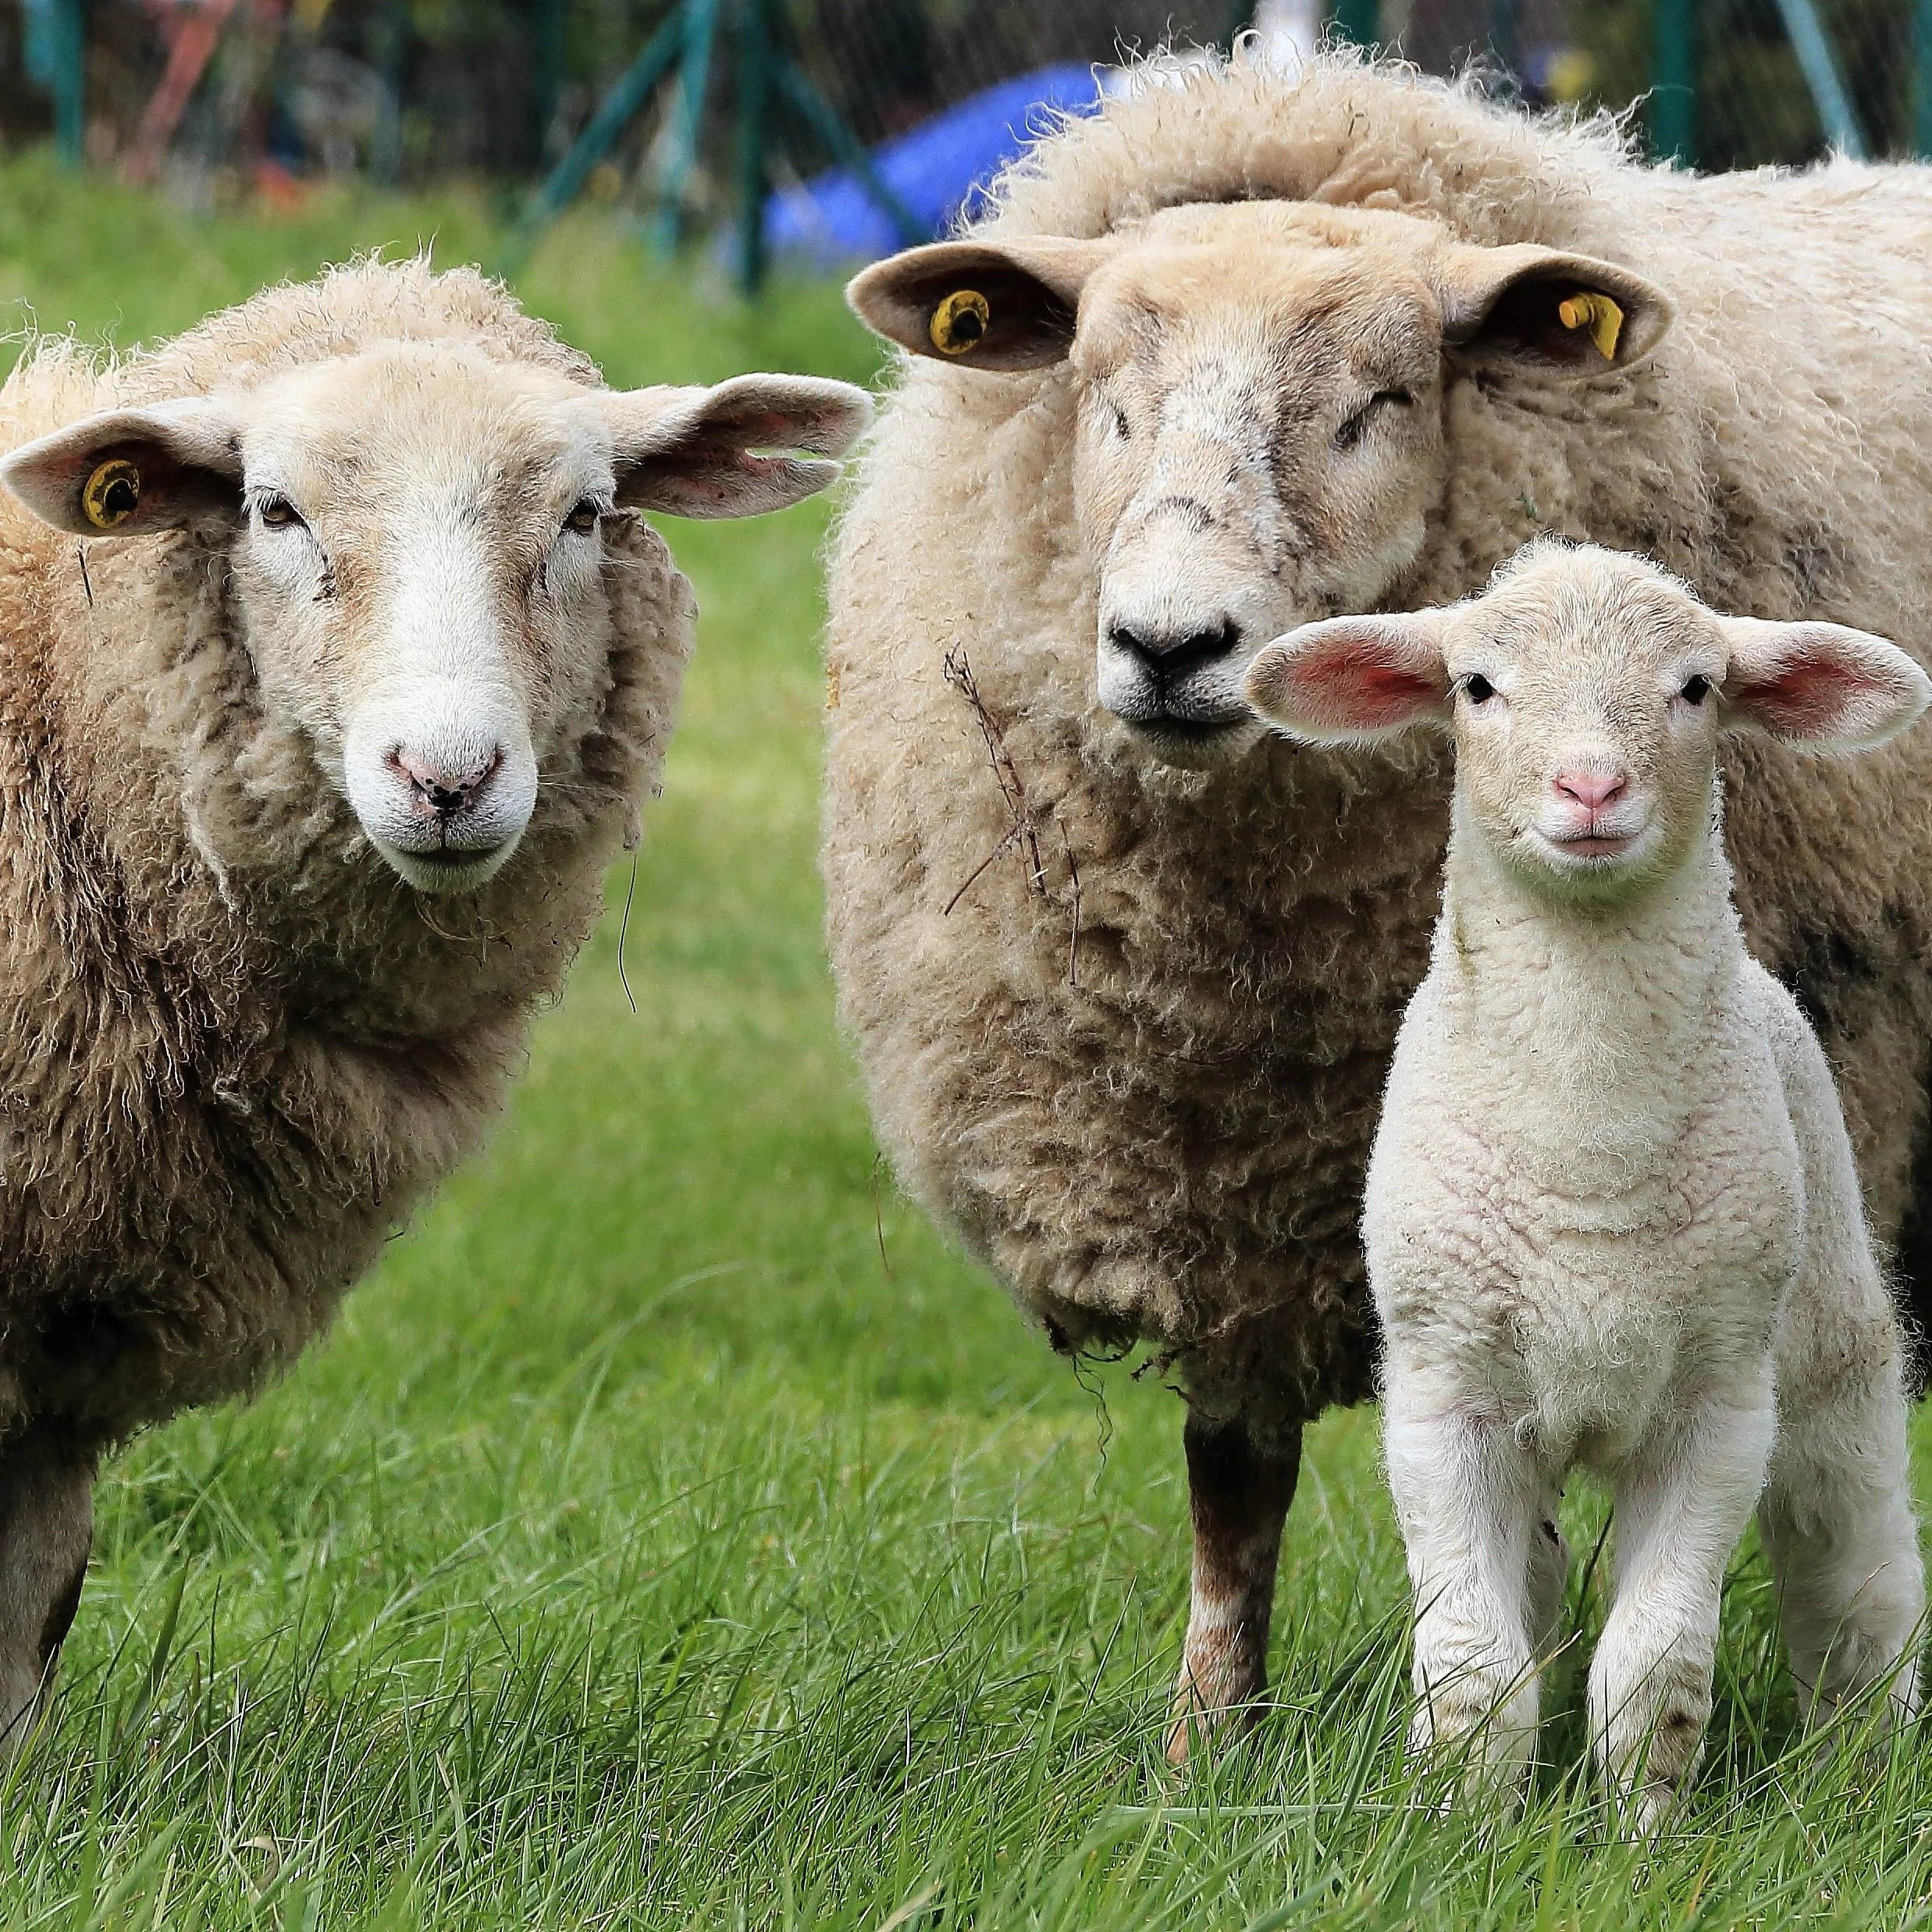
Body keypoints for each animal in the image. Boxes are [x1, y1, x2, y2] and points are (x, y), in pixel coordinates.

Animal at [1245, 540, 1928, 1828]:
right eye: (1474, 685)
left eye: (1695, 687)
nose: (1591, 789)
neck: (1584, 1151)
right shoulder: (1441, 1393)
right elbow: (1472, 1669)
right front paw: (1465, 1824)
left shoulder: (1718, 1404)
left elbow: (1654, 1667)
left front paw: (1641, 1834)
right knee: (1540, 1579)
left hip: (1826, 1346)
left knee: (1853, 1576)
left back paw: (1865, 1767)